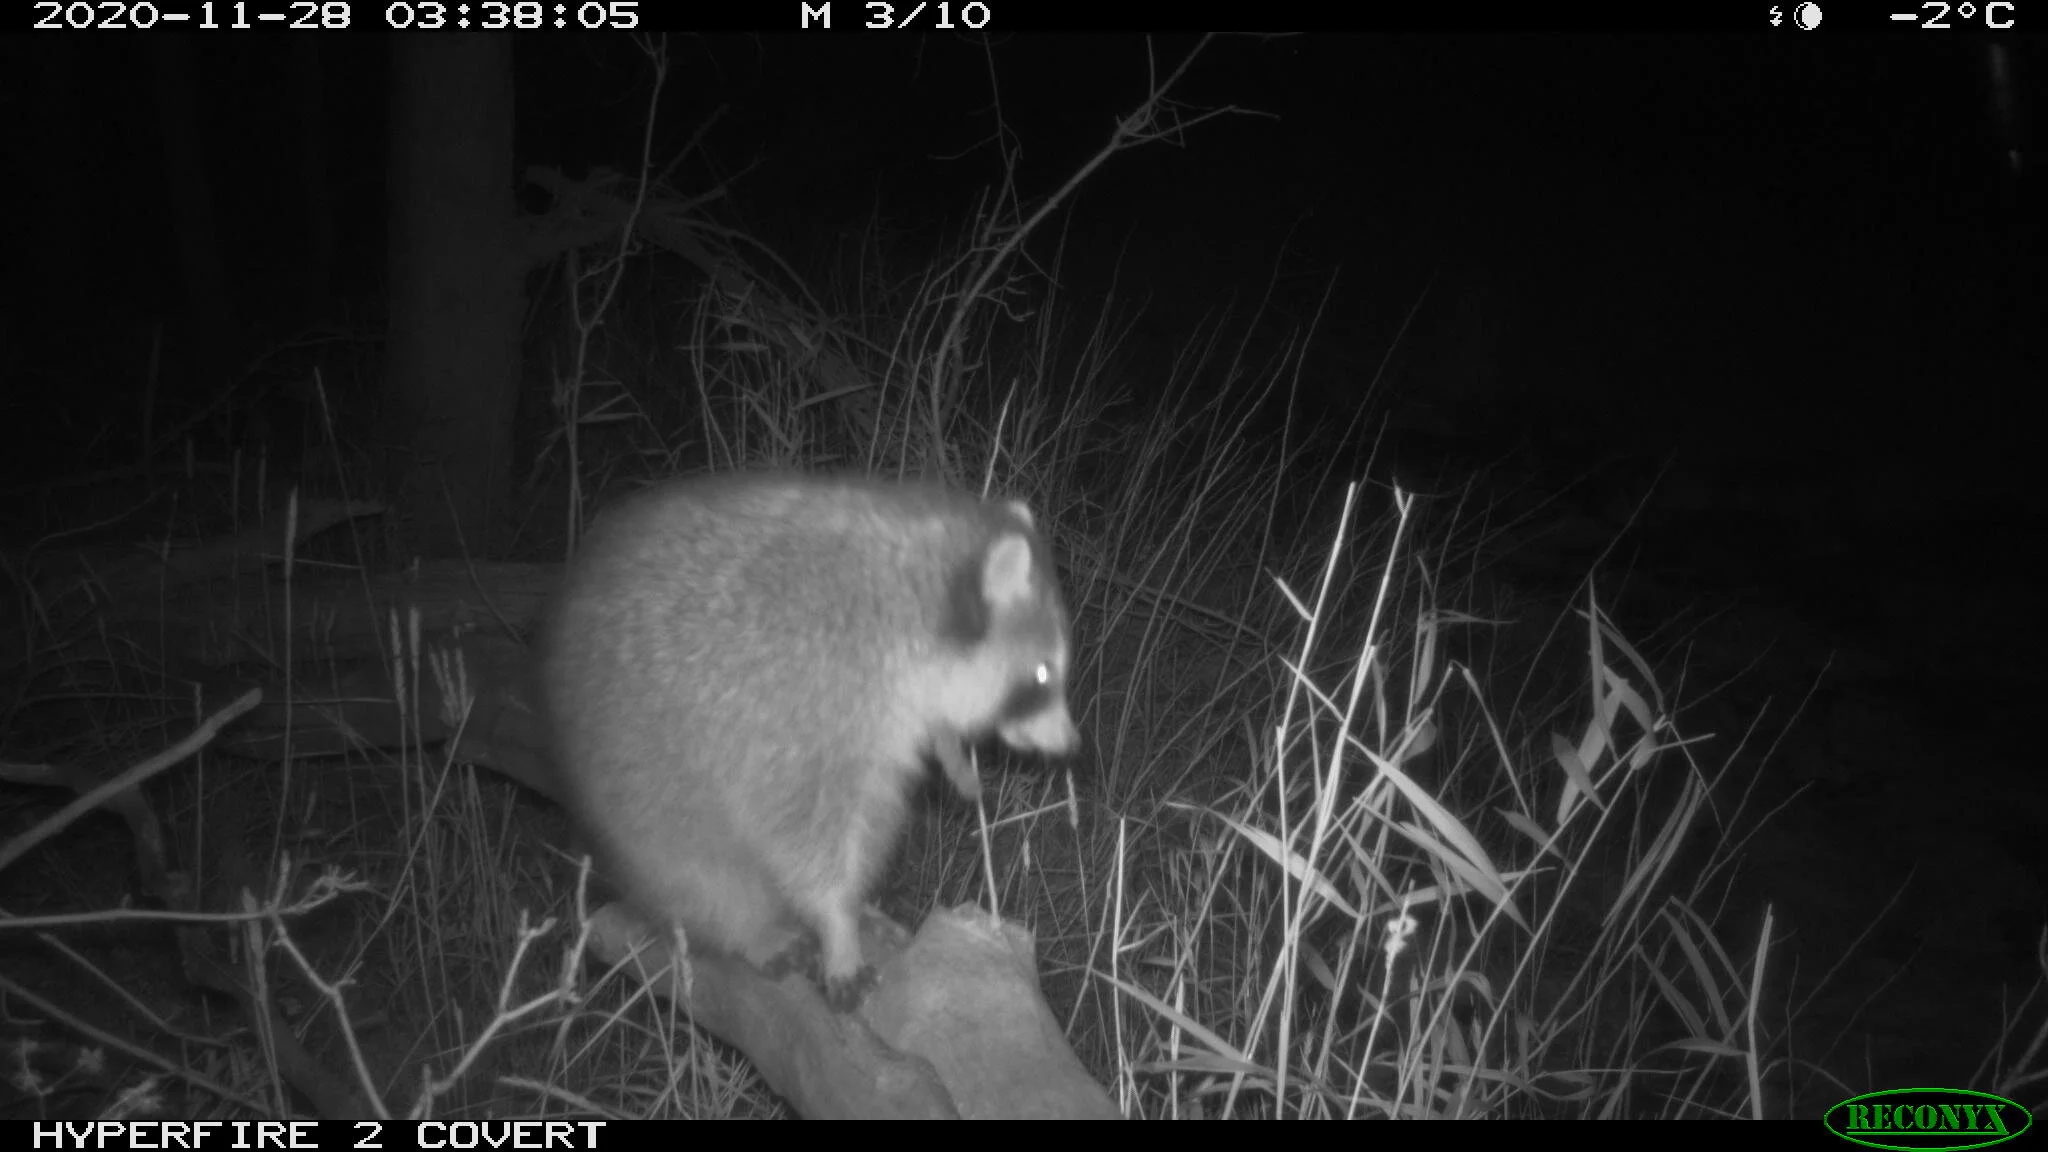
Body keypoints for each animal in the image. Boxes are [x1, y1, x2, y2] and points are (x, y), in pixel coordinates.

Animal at [538, 473, 1079, 1007]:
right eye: (1042, 675)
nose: (1073, 745)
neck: (905, 602)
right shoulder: (800, 711)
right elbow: (803, 839)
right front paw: (836, 923)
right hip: (636, 801)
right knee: (696, 875)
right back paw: (750, 929)